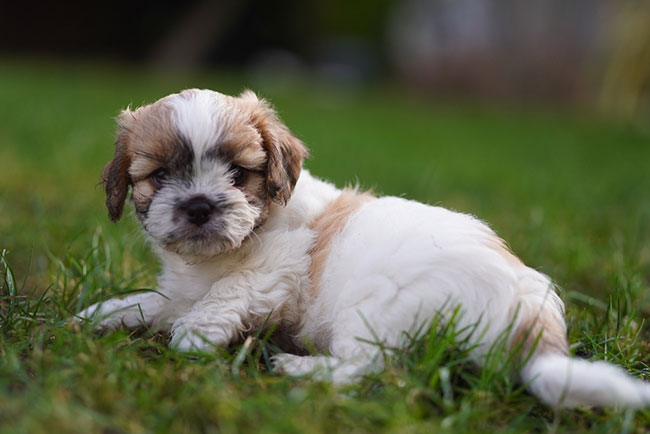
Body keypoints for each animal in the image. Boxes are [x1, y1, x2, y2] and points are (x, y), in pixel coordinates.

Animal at [79, 90, 648, 408]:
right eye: (160, 176)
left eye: (239, 174)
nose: (198, 205)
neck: (223, 251)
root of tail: (528, 305)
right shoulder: (181, 288)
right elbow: (152, 302)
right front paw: (98, 315)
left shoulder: (277, 269)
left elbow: (230, 291)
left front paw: (195, 336)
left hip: (374, 311)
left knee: (367, 370)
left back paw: (295, 369)